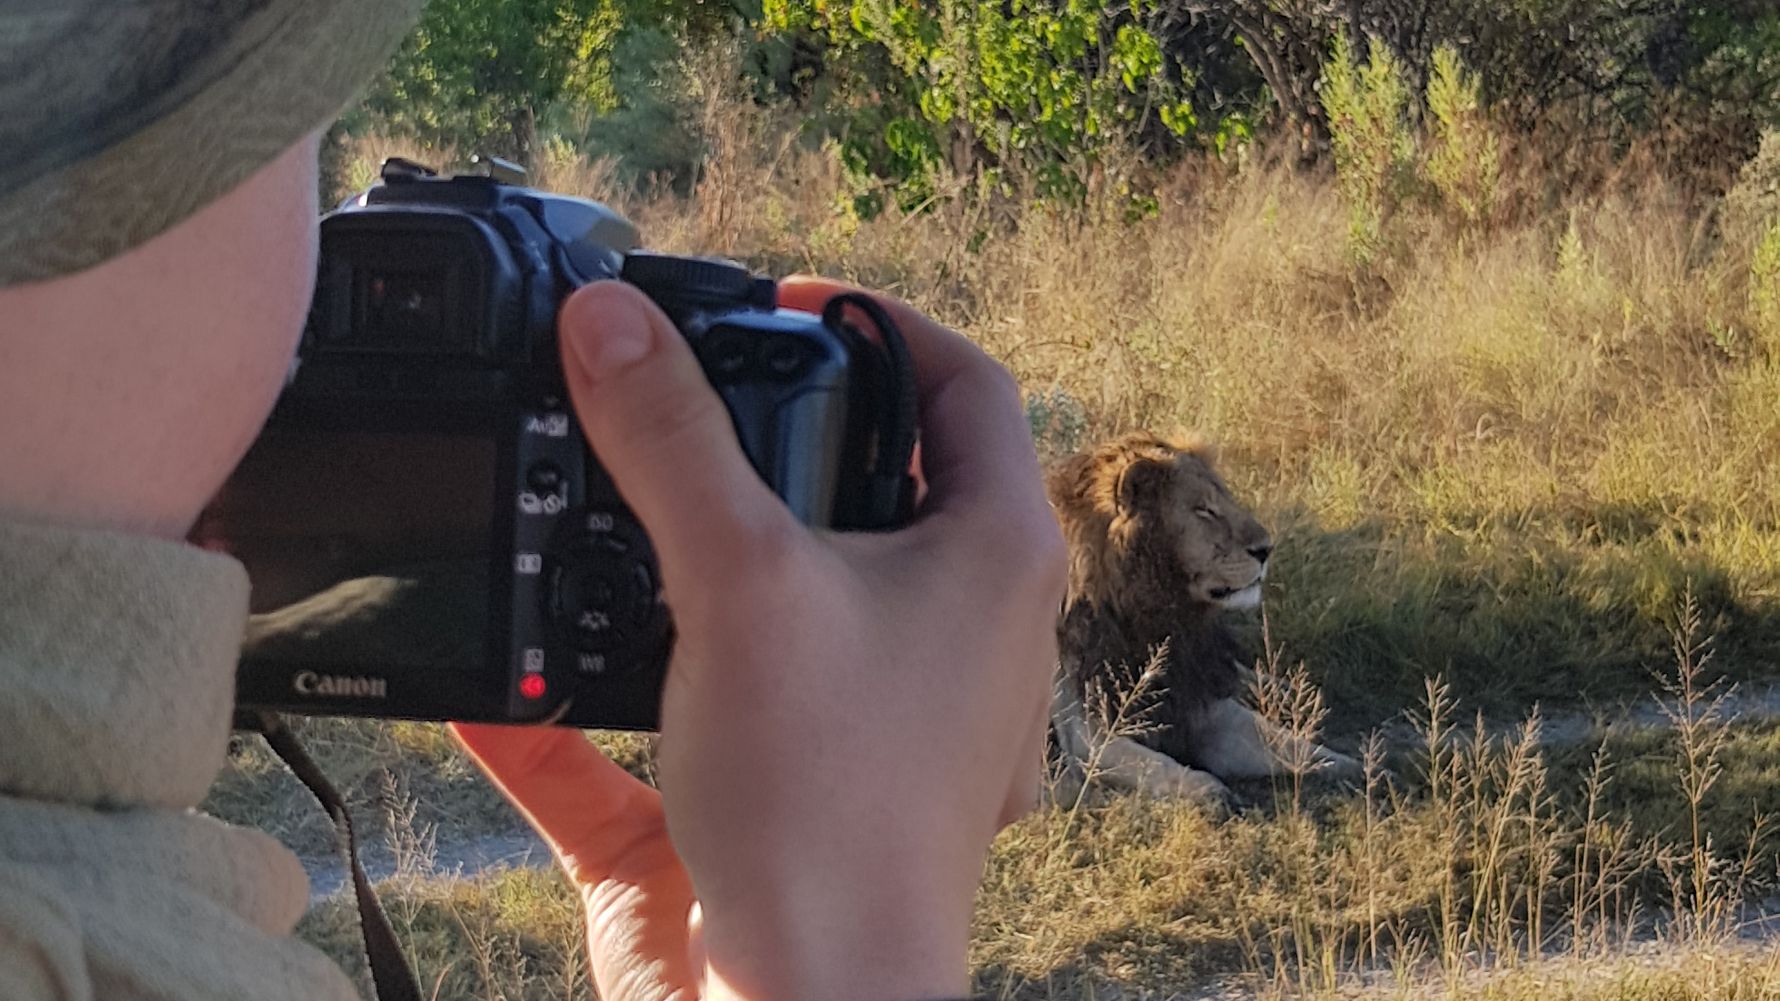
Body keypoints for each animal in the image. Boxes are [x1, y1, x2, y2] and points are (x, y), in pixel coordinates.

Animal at [1045, 431, 1358, 809]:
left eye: (1226, 501)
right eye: (1204, 510)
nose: (1266, 549)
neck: (1158, 618)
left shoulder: (1202, 701)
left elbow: (1281, 742)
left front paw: (1357, 767)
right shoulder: (1085, 732)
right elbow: (1155, 765)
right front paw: (1209, 791)